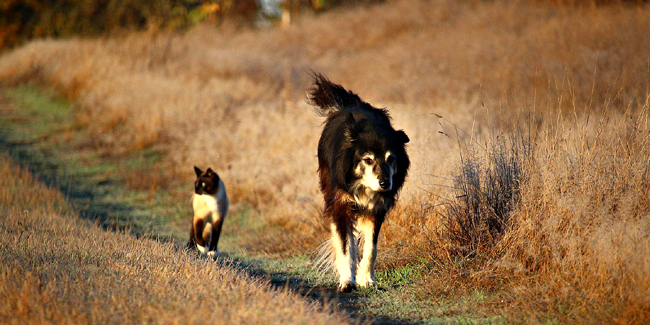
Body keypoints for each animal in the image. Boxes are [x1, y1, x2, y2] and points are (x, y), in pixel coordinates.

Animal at [306, 73, 408, 292]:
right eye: (368, 160)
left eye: (391, 158)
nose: (385, 184)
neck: (363, 187)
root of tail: (350, 104)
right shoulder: (341, 204)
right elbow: (345, 246)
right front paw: (347, 281)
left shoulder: (376, 210)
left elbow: (371, 247)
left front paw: (366, 280)